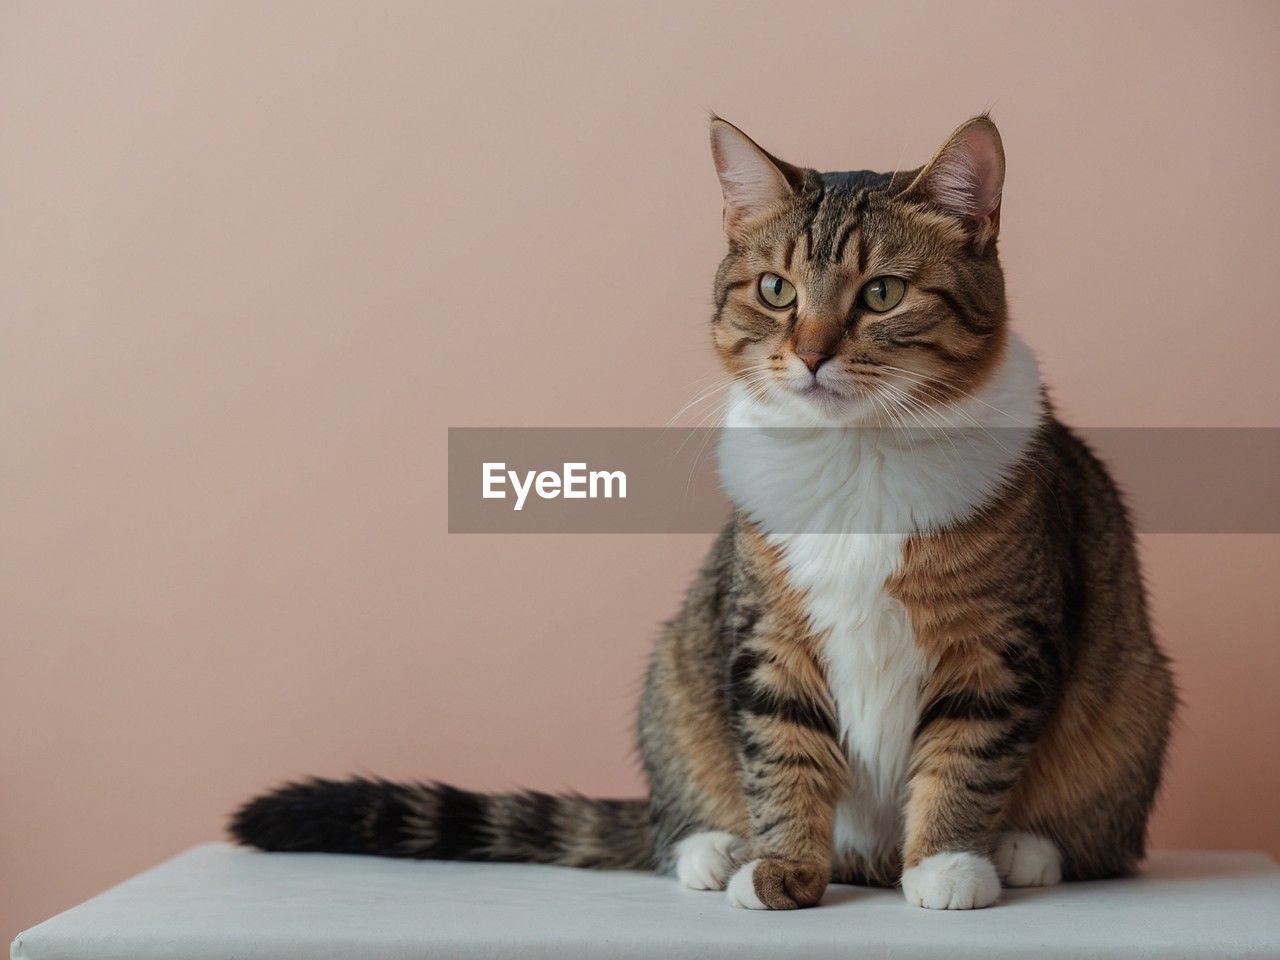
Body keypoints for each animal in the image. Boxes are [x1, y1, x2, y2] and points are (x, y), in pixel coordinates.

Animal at [227, 116, 1172, 911]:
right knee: (672, 816)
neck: (858, 457)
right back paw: (714, 849)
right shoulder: (767, 634)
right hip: (676, 671)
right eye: (776, 289)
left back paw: (1023, 850)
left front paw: (945, 863)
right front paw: (781, 866)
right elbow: (781, 749)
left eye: (882, 294)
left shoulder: (997, 643)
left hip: (1133, 703)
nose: (812, 353)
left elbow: (967, 753)